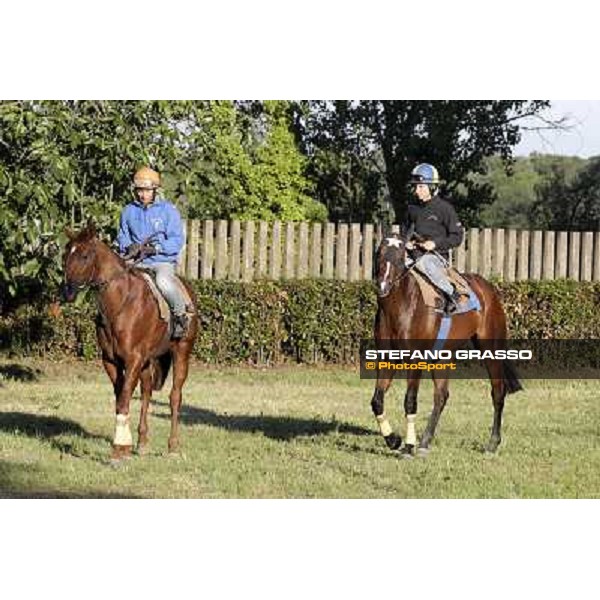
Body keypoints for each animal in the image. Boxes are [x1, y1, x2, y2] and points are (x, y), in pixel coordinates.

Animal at [63, 223, 199, 462]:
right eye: (65, 254)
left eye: (85, 255)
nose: (67, 292)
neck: (121, 303)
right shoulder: (111, 361)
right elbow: (120, 398)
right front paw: (125, 446)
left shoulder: (133, 359)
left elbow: (125, 397)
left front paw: (118, 448)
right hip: (147, 361)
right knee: (146, 393)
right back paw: (142, 442)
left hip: (182, 353)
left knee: (175, 396)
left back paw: (173, 446)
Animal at [370, 233, 520, 454]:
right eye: (379, 253)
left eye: (399, 257)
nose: (383, 286)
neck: (402, 307)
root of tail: (488, 290)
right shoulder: (387, 358)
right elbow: (377, 401)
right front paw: (393, 440)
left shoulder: (416, 361)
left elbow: (410, 401)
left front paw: (408, 446)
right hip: (443, 356)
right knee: (441, 395)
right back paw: (425, 441)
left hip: (491, 349)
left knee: (498, 392)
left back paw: (492, 443)